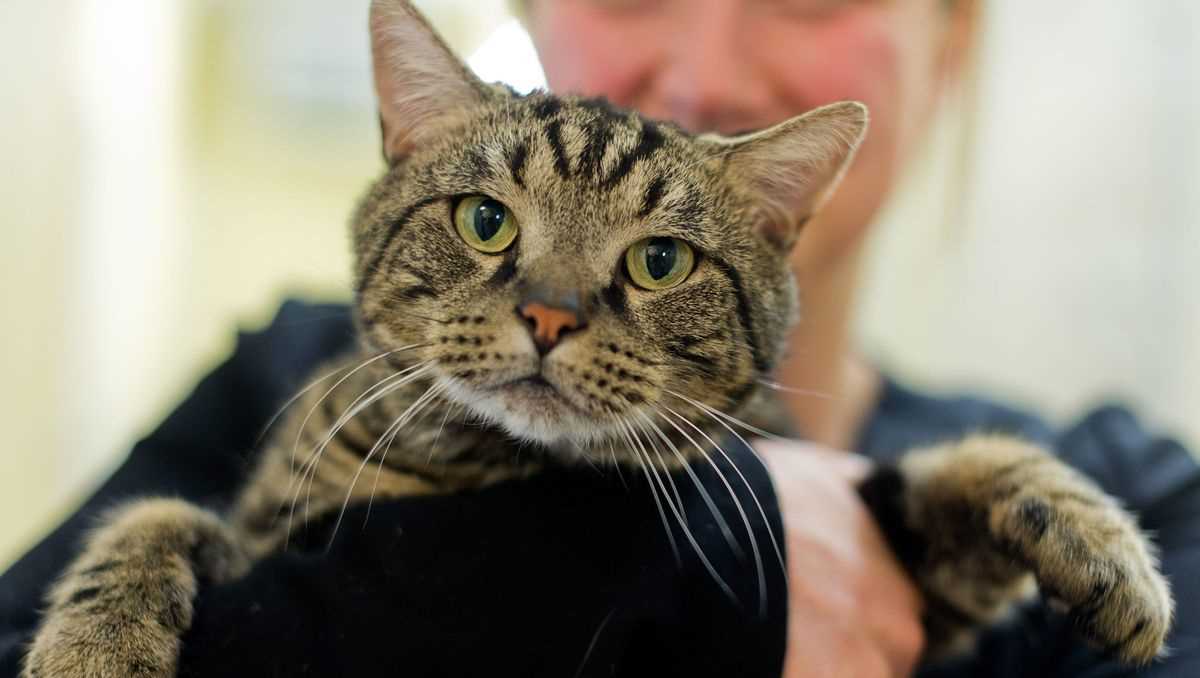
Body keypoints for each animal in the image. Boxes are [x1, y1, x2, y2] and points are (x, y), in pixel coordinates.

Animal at [23, 2, 1171, 672]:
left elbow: (962, 466)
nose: (549, 313)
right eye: (485, 221)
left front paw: (1100, 537)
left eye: (659, 261)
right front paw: (93, 644)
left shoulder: (931, 605)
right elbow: (150, 517)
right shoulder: (264, 526)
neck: (500, 470)